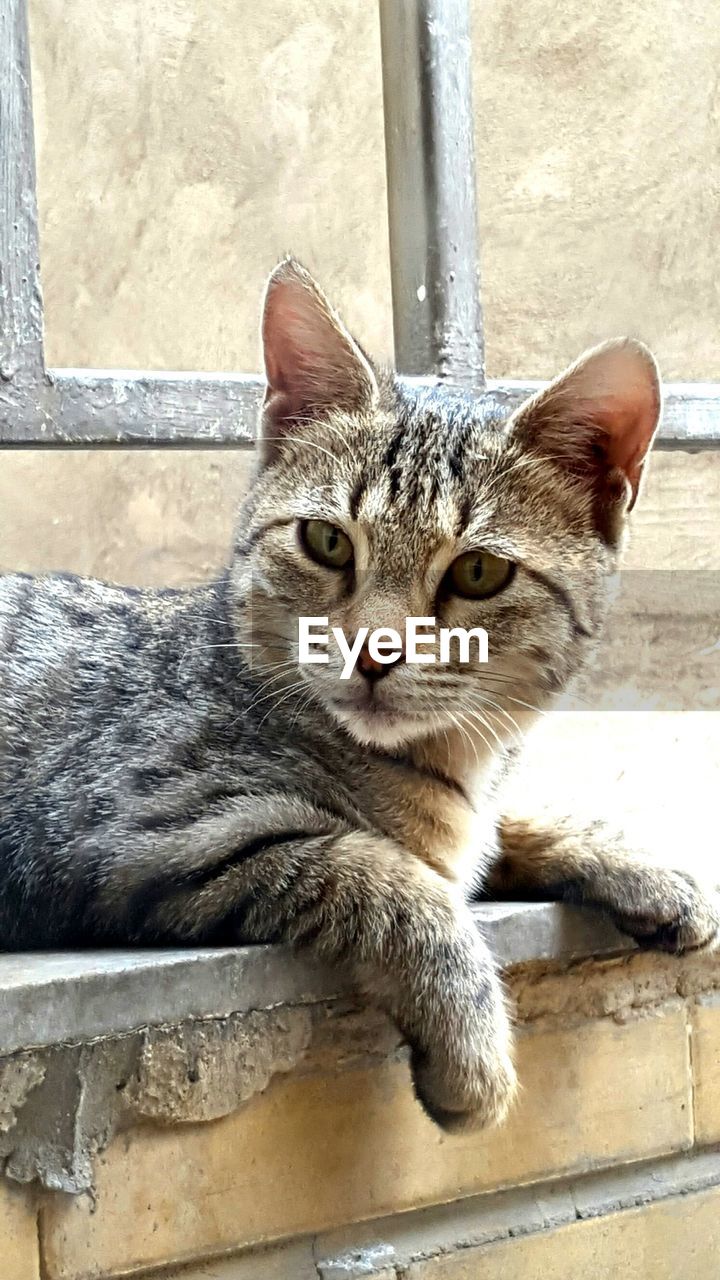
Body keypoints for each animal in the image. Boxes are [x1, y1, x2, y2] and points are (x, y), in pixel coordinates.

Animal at [0, 257, 712, 1131]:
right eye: (327, 542)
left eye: (480, 572)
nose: (375, 650)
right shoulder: (150, 837)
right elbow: (389, 876)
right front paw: (473, 1053)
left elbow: (502, 831)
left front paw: (638, 863)